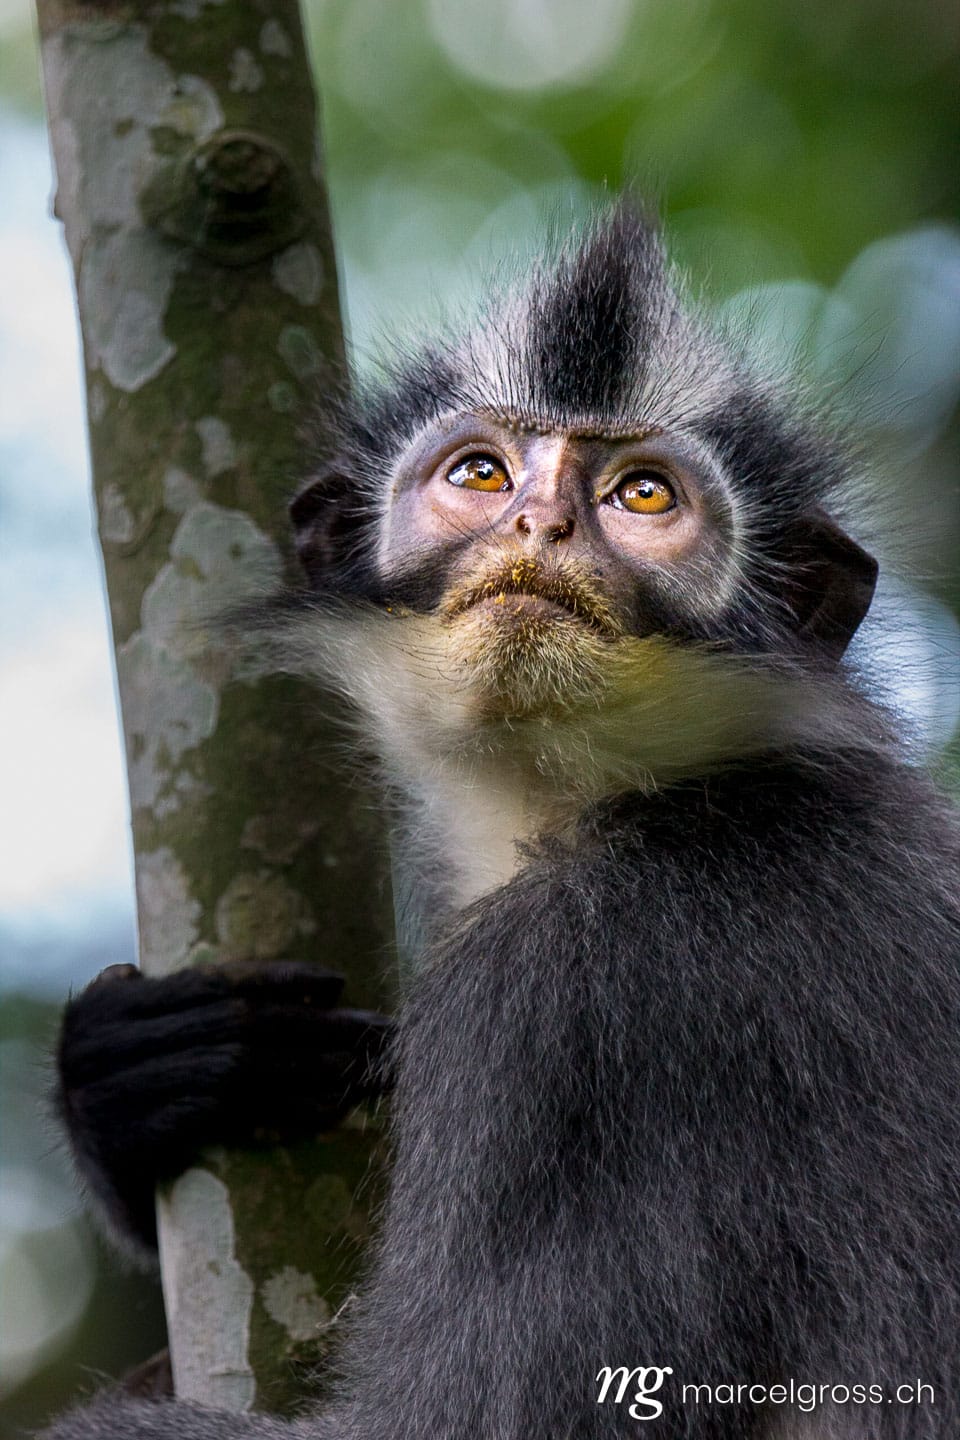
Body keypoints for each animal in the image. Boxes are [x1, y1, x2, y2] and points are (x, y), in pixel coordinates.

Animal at [44, 204, 960, 1440]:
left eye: (643, 496)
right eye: (480, 472)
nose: (540, 521)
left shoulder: (584, 1004)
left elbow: (441, 1422)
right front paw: (129, 1078)